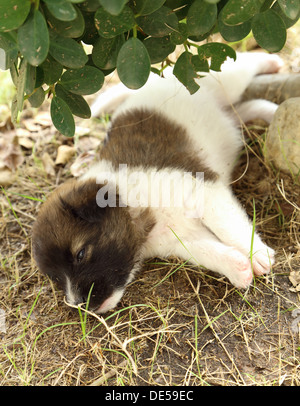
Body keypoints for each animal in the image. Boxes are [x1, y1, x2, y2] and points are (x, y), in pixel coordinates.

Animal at [32, 52, 282, 314]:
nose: (81, 306)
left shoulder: (203, 193)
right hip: (227, 115)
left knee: (244, 63)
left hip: (227, 81)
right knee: (245, 109)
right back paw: (271, 112)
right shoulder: (182, 239)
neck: (134, 204)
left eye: (81, 254)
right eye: (56, 278)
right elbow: (208, 251)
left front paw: (258, 253)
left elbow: (230, 227)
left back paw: (270, 62)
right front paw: (238, 268)